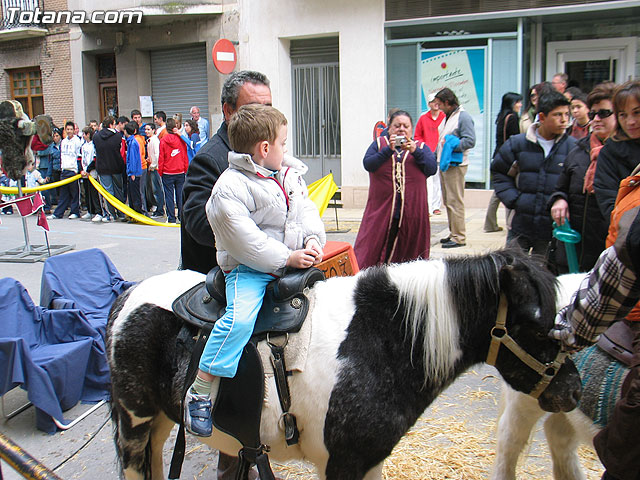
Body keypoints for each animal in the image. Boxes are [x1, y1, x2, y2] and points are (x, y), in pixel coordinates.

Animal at [107, 249, 584, 478]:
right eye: (537, 323)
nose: (574, 390)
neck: (381, 341)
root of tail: (128, 294)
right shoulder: (342, 465)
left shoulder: (368, 463)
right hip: (134, 422)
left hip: (160, 423)